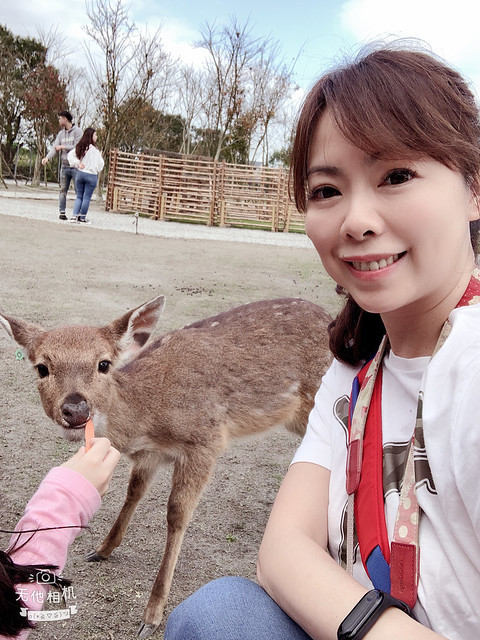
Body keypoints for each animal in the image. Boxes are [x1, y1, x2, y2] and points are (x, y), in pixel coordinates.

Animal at [0, 296, 332, 637]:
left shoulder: (205, 440)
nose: (76, 409)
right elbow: (133, 493)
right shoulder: (150, 456)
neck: (149, 419)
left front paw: (152, 613)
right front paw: (102, 549)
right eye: (42, 367)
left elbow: (176, 514)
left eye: (103, 363)